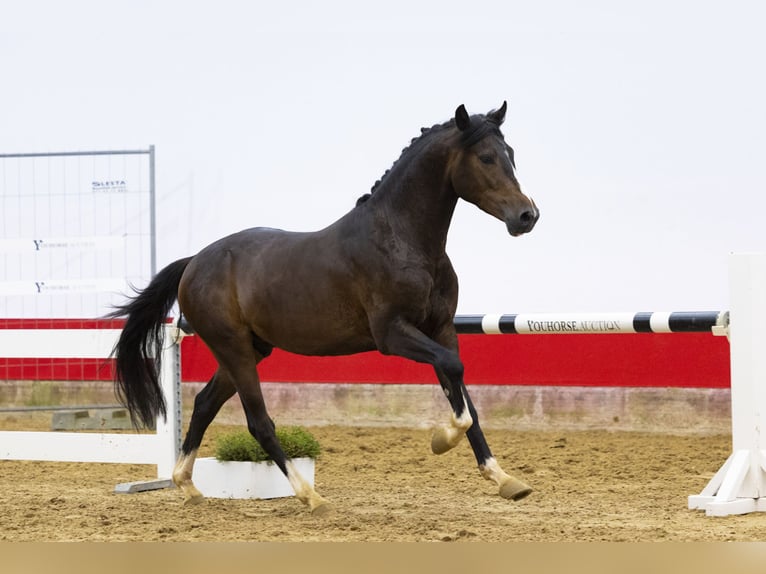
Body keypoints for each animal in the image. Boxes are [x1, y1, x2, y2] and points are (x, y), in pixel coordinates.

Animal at [112, 101, 540, 516]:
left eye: (511, 154)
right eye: (486, 157)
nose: (527, 216)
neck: (401, 239)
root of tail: (194, 262)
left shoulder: (441, 330)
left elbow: (464, 395)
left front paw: (504, 479)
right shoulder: (392, 334)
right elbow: (456, 382)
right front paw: (441, 439)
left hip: (250, 350)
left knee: (203, 405)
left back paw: (187, 485)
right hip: (233, 349)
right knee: (259, 423)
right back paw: (310, 497)